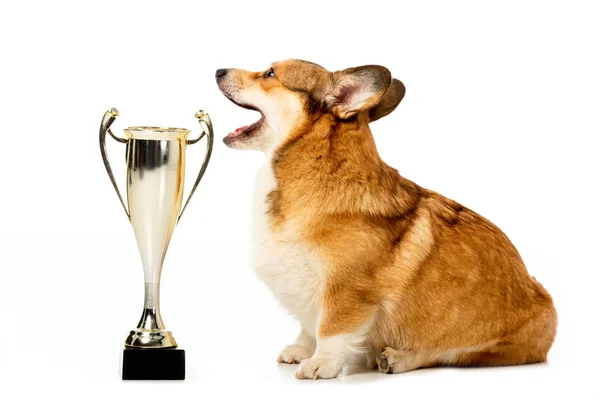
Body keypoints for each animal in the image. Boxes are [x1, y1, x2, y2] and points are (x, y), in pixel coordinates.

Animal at [216, 59, 556, 378]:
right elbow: (307, 325)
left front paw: (321, 364)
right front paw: (301, 349)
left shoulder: (344, 291)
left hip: (476, 347)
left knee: (443, 353)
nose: (218, 71)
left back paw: (397, 357)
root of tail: (543, 297)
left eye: (270, 74)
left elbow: (330, 331)